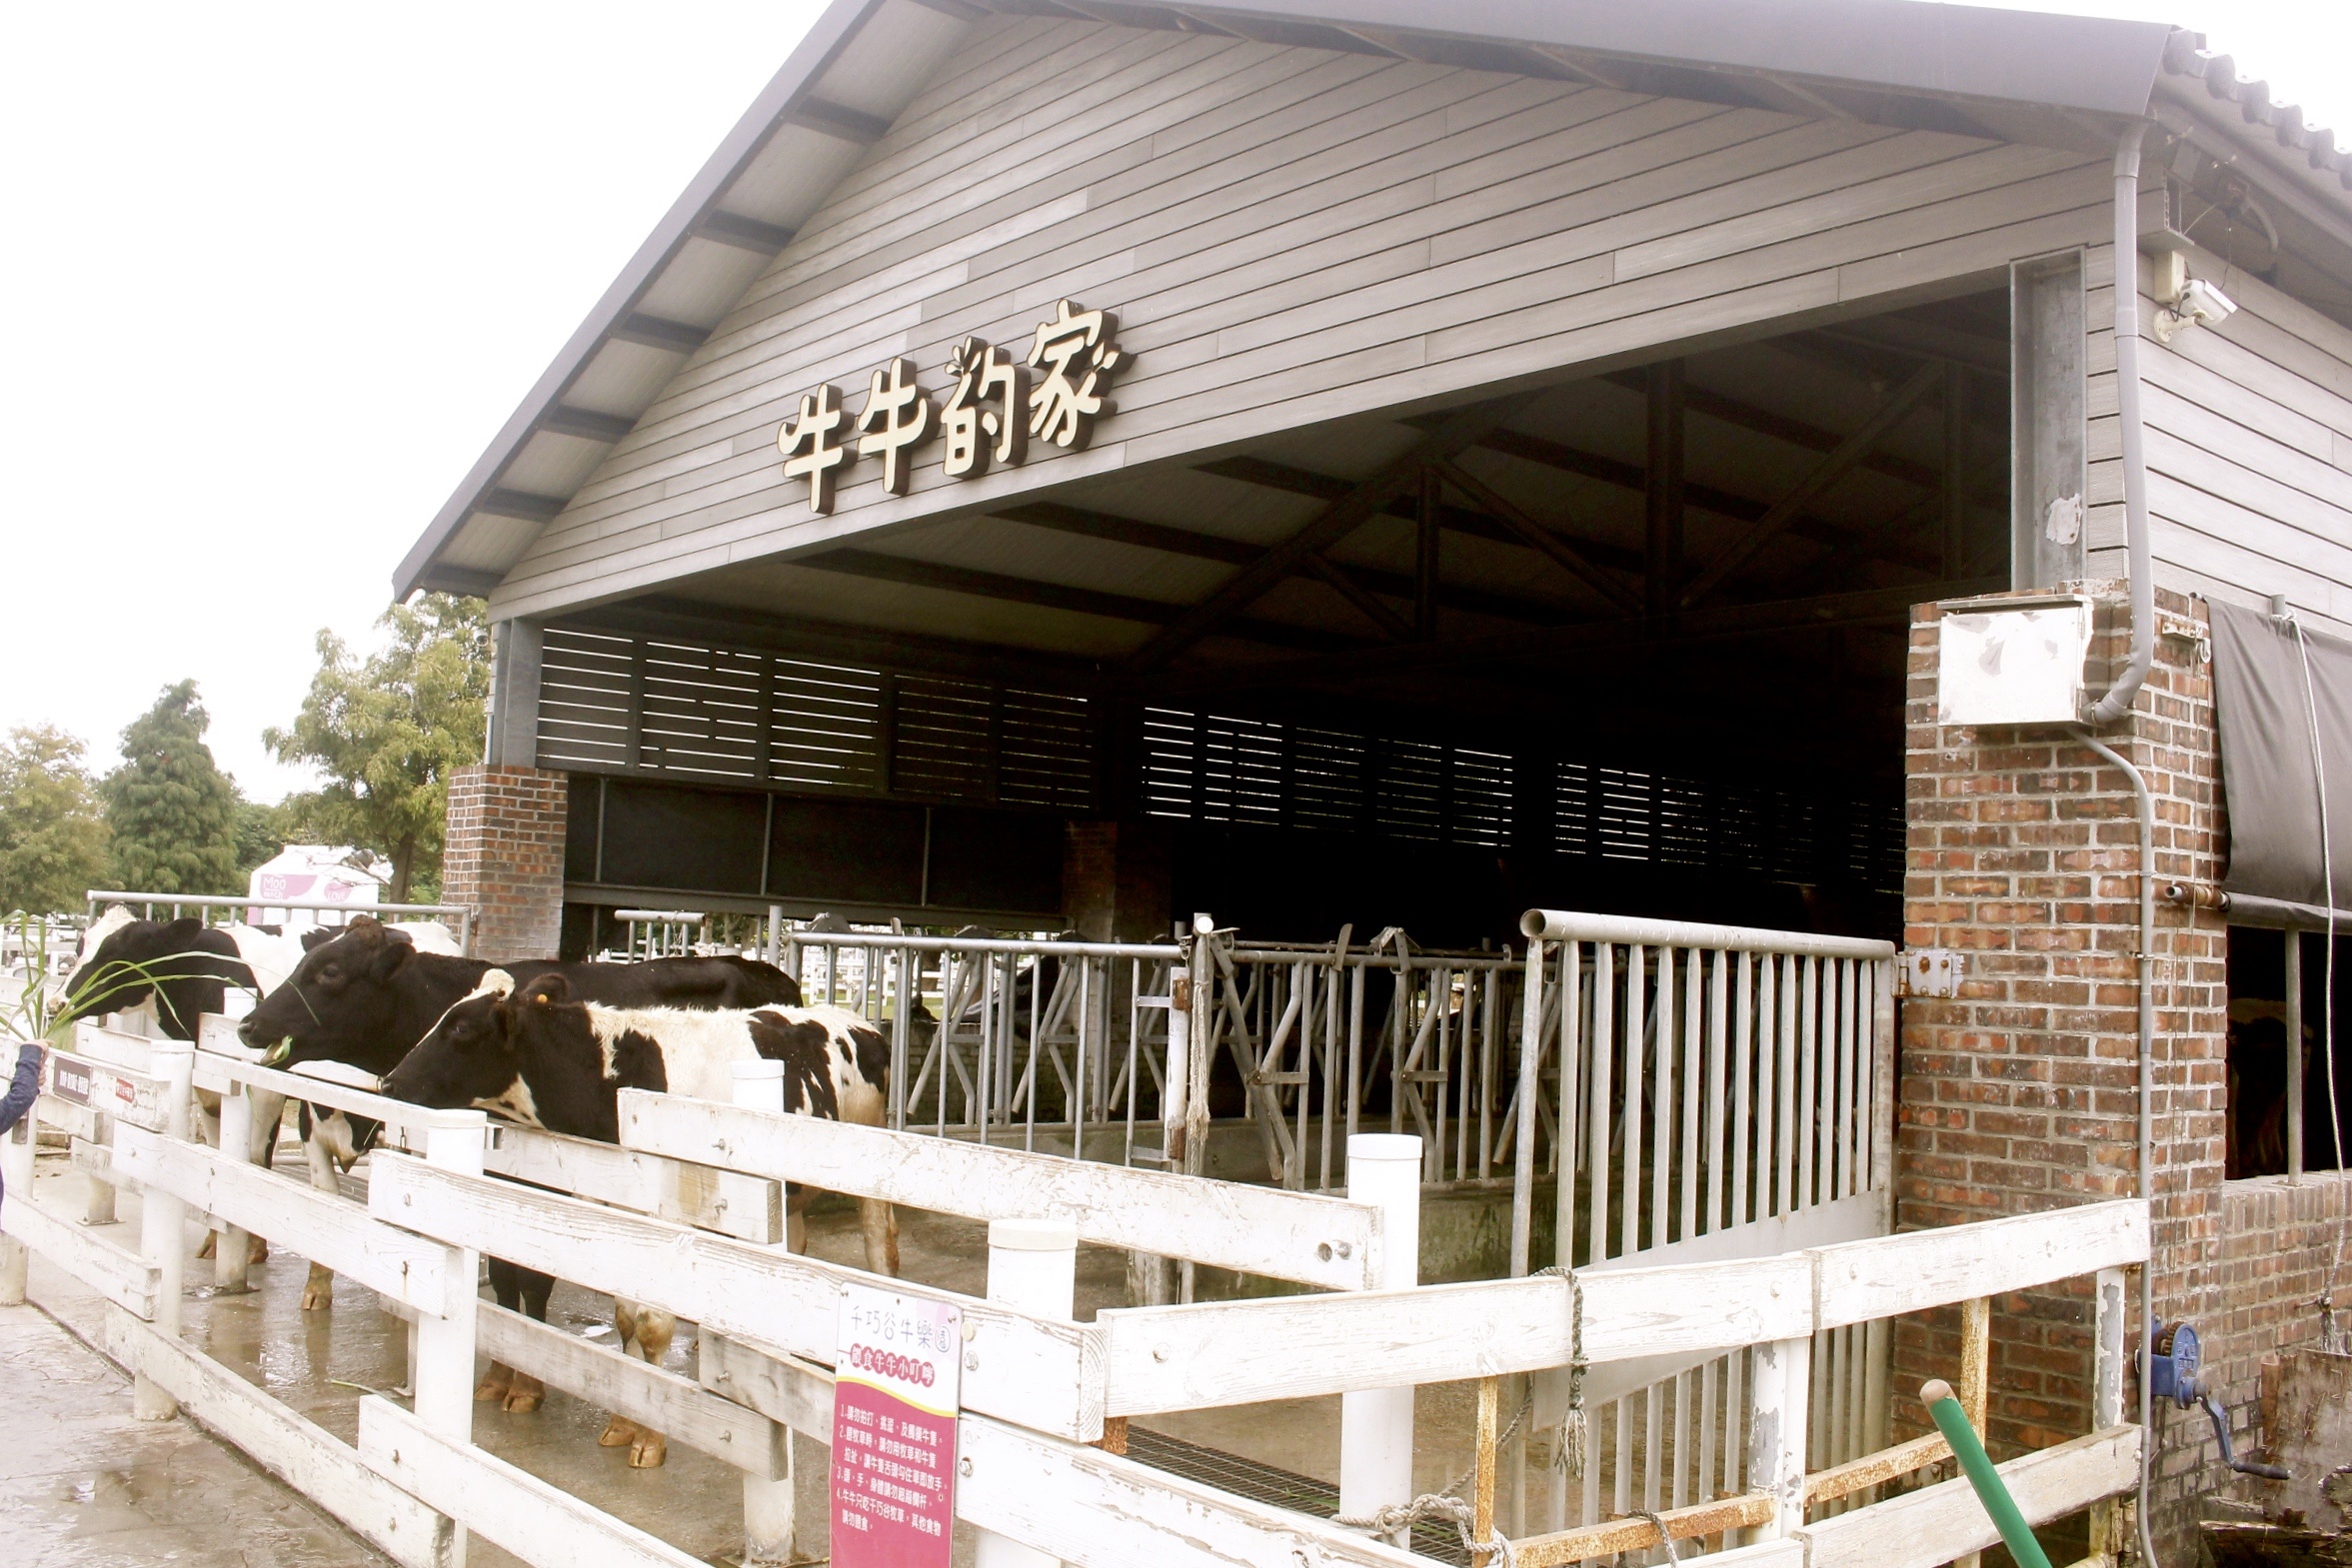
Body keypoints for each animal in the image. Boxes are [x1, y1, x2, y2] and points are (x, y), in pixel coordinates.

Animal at [385, 972, 898, 1466]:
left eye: (460, 1029)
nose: (388, 1084)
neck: (613, 1077)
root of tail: (857, 1022)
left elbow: (653, 1326)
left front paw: (651, 1438)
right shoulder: (620, 1211)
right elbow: (626, 1318)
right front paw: (625, 1420)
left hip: (868, 1169)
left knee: (881, 1248)